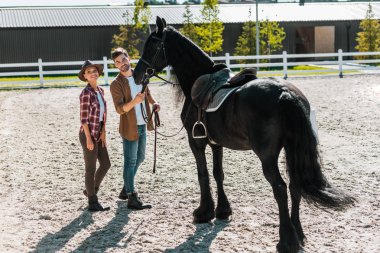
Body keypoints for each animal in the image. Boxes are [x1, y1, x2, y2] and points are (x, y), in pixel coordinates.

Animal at [133, 16, 354, 252]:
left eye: (152, 45)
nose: (137, 74)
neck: (197, 79)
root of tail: (285, 93)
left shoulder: (196, 141)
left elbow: (203, 174)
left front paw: (203, 212)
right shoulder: (216, 143)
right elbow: (218, 173)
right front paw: (222, 211)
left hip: (267, 156)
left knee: (280, 188)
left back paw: (286, 241)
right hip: (292, 149)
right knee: (295, 186)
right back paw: (298, 234)